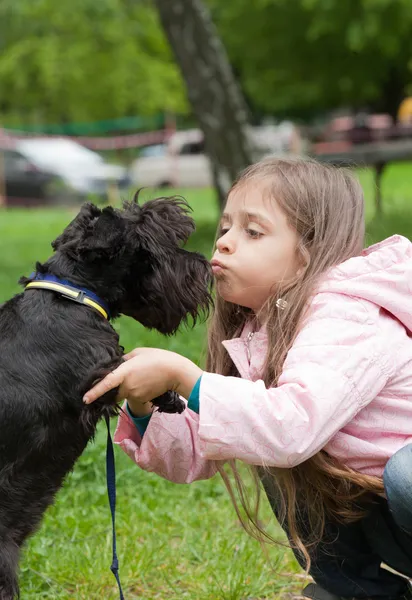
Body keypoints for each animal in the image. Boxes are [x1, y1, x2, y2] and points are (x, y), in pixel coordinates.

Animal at [0, 195, 212, 596]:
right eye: (152, 239)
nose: (204, 266)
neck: (73, 298)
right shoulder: (95, 378)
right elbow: (125, 362)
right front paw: (170, 395)